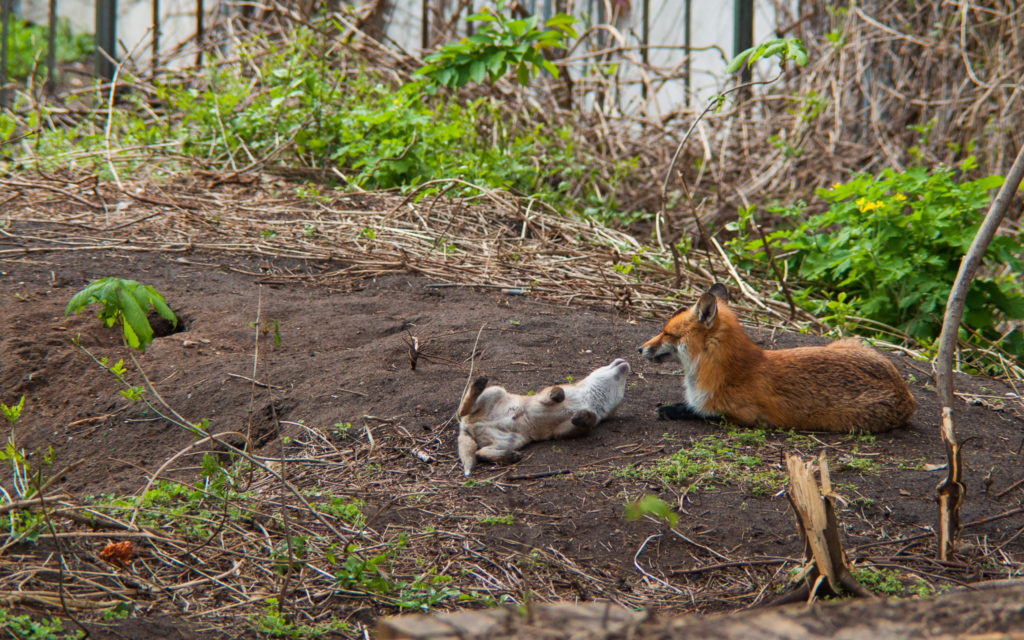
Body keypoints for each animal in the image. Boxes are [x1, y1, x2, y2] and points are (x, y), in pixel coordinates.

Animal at [458, 360, 630, 475]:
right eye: (623, 382)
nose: (626, 364)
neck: (585, 399)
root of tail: (466, 426)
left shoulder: (562, 430)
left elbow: (586, 422)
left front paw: (582, 417)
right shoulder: (543, 396)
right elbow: (556, 391)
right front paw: (557, 395)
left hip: (514, 440)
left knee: (480, 453)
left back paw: (510, 457)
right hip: (496, 391)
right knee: (462, 410)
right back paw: (478, 384)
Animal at [638, 286, 913, 432]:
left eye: (667, 334)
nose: (640, 349)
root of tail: (906, 395)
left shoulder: (749, 418)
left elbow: (701, 412)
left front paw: (672, 410)